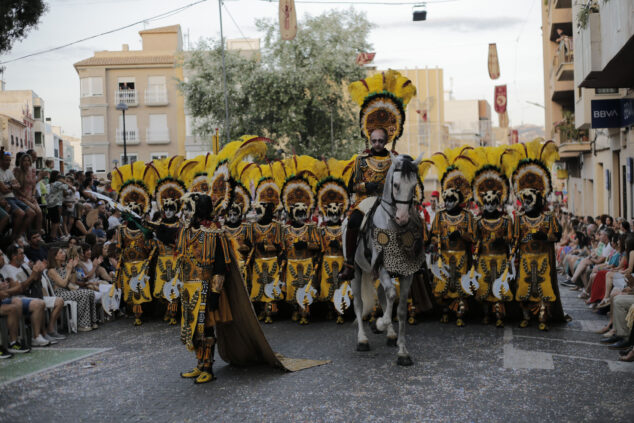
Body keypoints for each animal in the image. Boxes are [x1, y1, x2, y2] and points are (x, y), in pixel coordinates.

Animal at [348, 154, 422, 366]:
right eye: (395, 185)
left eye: (414, 185)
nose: (402, 218)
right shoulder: (381, 267)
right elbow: (390, 296)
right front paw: (380, 323)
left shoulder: (406, 273)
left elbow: (401, 309)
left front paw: (403, 352)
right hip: (356, 271)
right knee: (359, 303)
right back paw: (362, 340)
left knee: (381, 295)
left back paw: (390, 335)